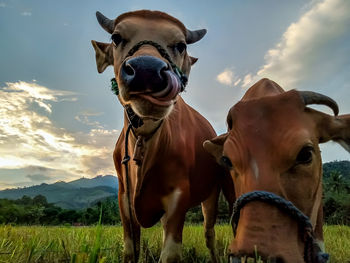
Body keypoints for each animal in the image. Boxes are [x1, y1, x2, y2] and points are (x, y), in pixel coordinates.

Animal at [91, 9, 231, 262]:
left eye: (181, 45)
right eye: (116, 37)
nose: (146, 70)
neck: (145, 141)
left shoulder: (179, 194)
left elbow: (171, 254)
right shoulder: (124, 196)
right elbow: (130, 250)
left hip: (212, 193)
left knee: (209, 233)